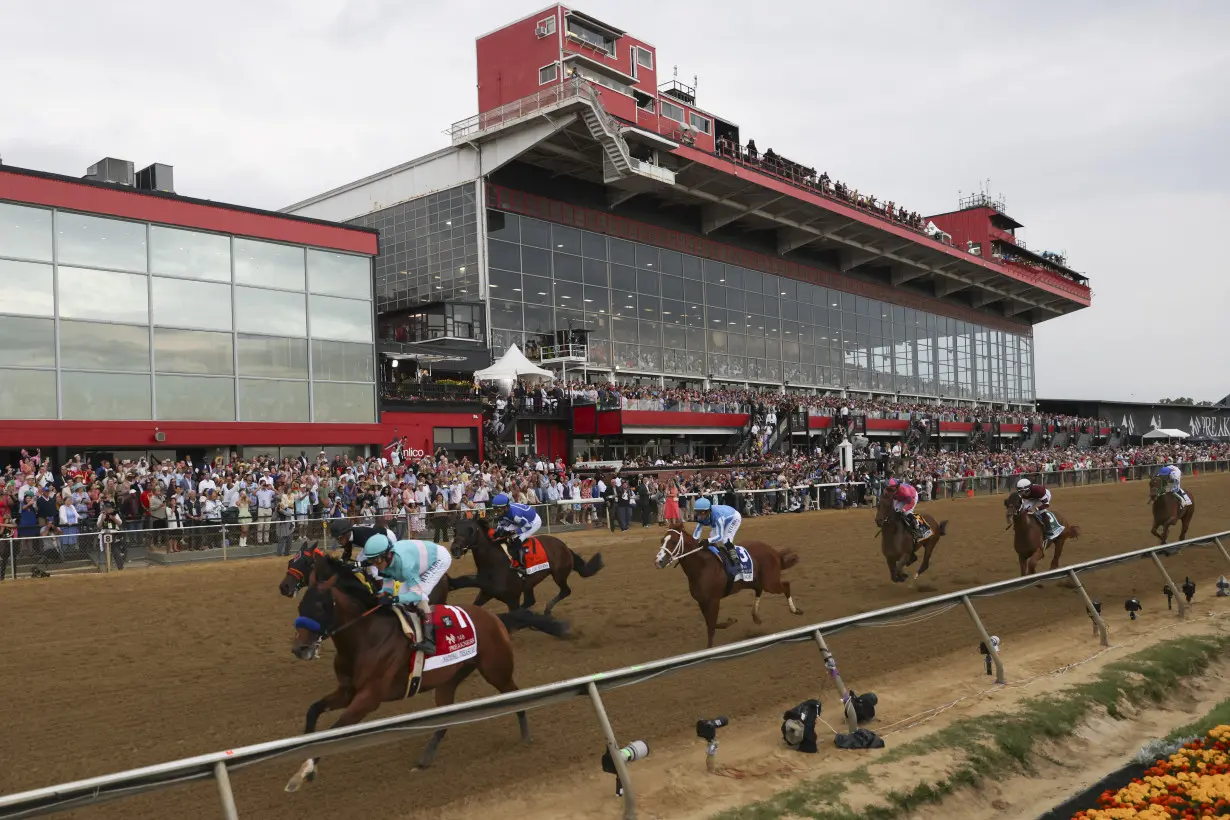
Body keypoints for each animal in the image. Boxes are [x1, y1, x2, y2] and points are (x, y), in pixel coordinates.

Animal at [282, 555, 565, 791]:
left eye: (320, 606)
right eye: (301, 606)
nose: (300, 648)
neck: (365, 636)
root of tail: (495, 619)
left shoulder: (369, 698)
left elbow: (334, 732)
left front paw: (302, 774)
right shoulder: (347, 690)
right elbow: (313, 711)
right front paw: (304, 763)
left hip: (496, 670)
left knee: (515, 696)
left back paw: (526, 738)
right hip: (450, 680)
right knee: (445, 720)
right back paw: (424, 760)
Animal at [452, 518, 605, 614]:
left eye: (471, 530)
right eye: (455, 530)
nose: (454, 549)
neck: (493, 564)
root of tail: (564, 546)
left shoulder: (512, 599)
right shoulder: (486, 592)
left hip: (559, 574)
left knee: (565, 591)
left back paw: (547, 609)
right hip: (530, 583)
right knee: (531, 600)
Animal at [649, 528, 801, 649]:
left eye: (674, 542)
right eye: (662, 540)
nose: (658, 562)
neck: (702, 566)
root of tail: (773, 551)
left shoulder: (713, 600)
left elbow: (711, 627)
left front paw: (709, 648)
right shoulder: (702, 601)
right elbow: (712, 624)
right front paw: (730, 621)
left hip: (770, 583)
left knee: (786, 585)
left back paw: (795, 610)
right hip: (754, 581)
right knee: (759, 591)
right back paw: (756, 617)